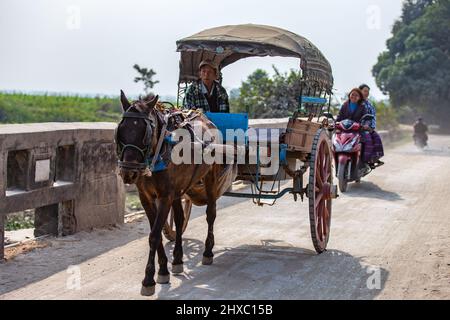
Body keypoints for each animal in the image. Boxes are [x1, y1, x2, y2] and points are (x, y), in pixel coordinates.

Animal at [115, 91, 236, 296]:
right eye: (120, 130)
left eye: (145, 133)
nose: (128, 173)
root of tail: (206, 119)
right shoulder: (146, 197)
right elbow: (157, 232)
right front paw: (163, 270)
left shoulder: (166, 196)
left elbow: (154, 235)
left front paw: (148, 280)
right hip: (179, 189)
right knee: (179, 219)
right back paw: (178, 259)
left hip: (210, 179)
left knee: (211, 214)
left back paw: (207, 252)